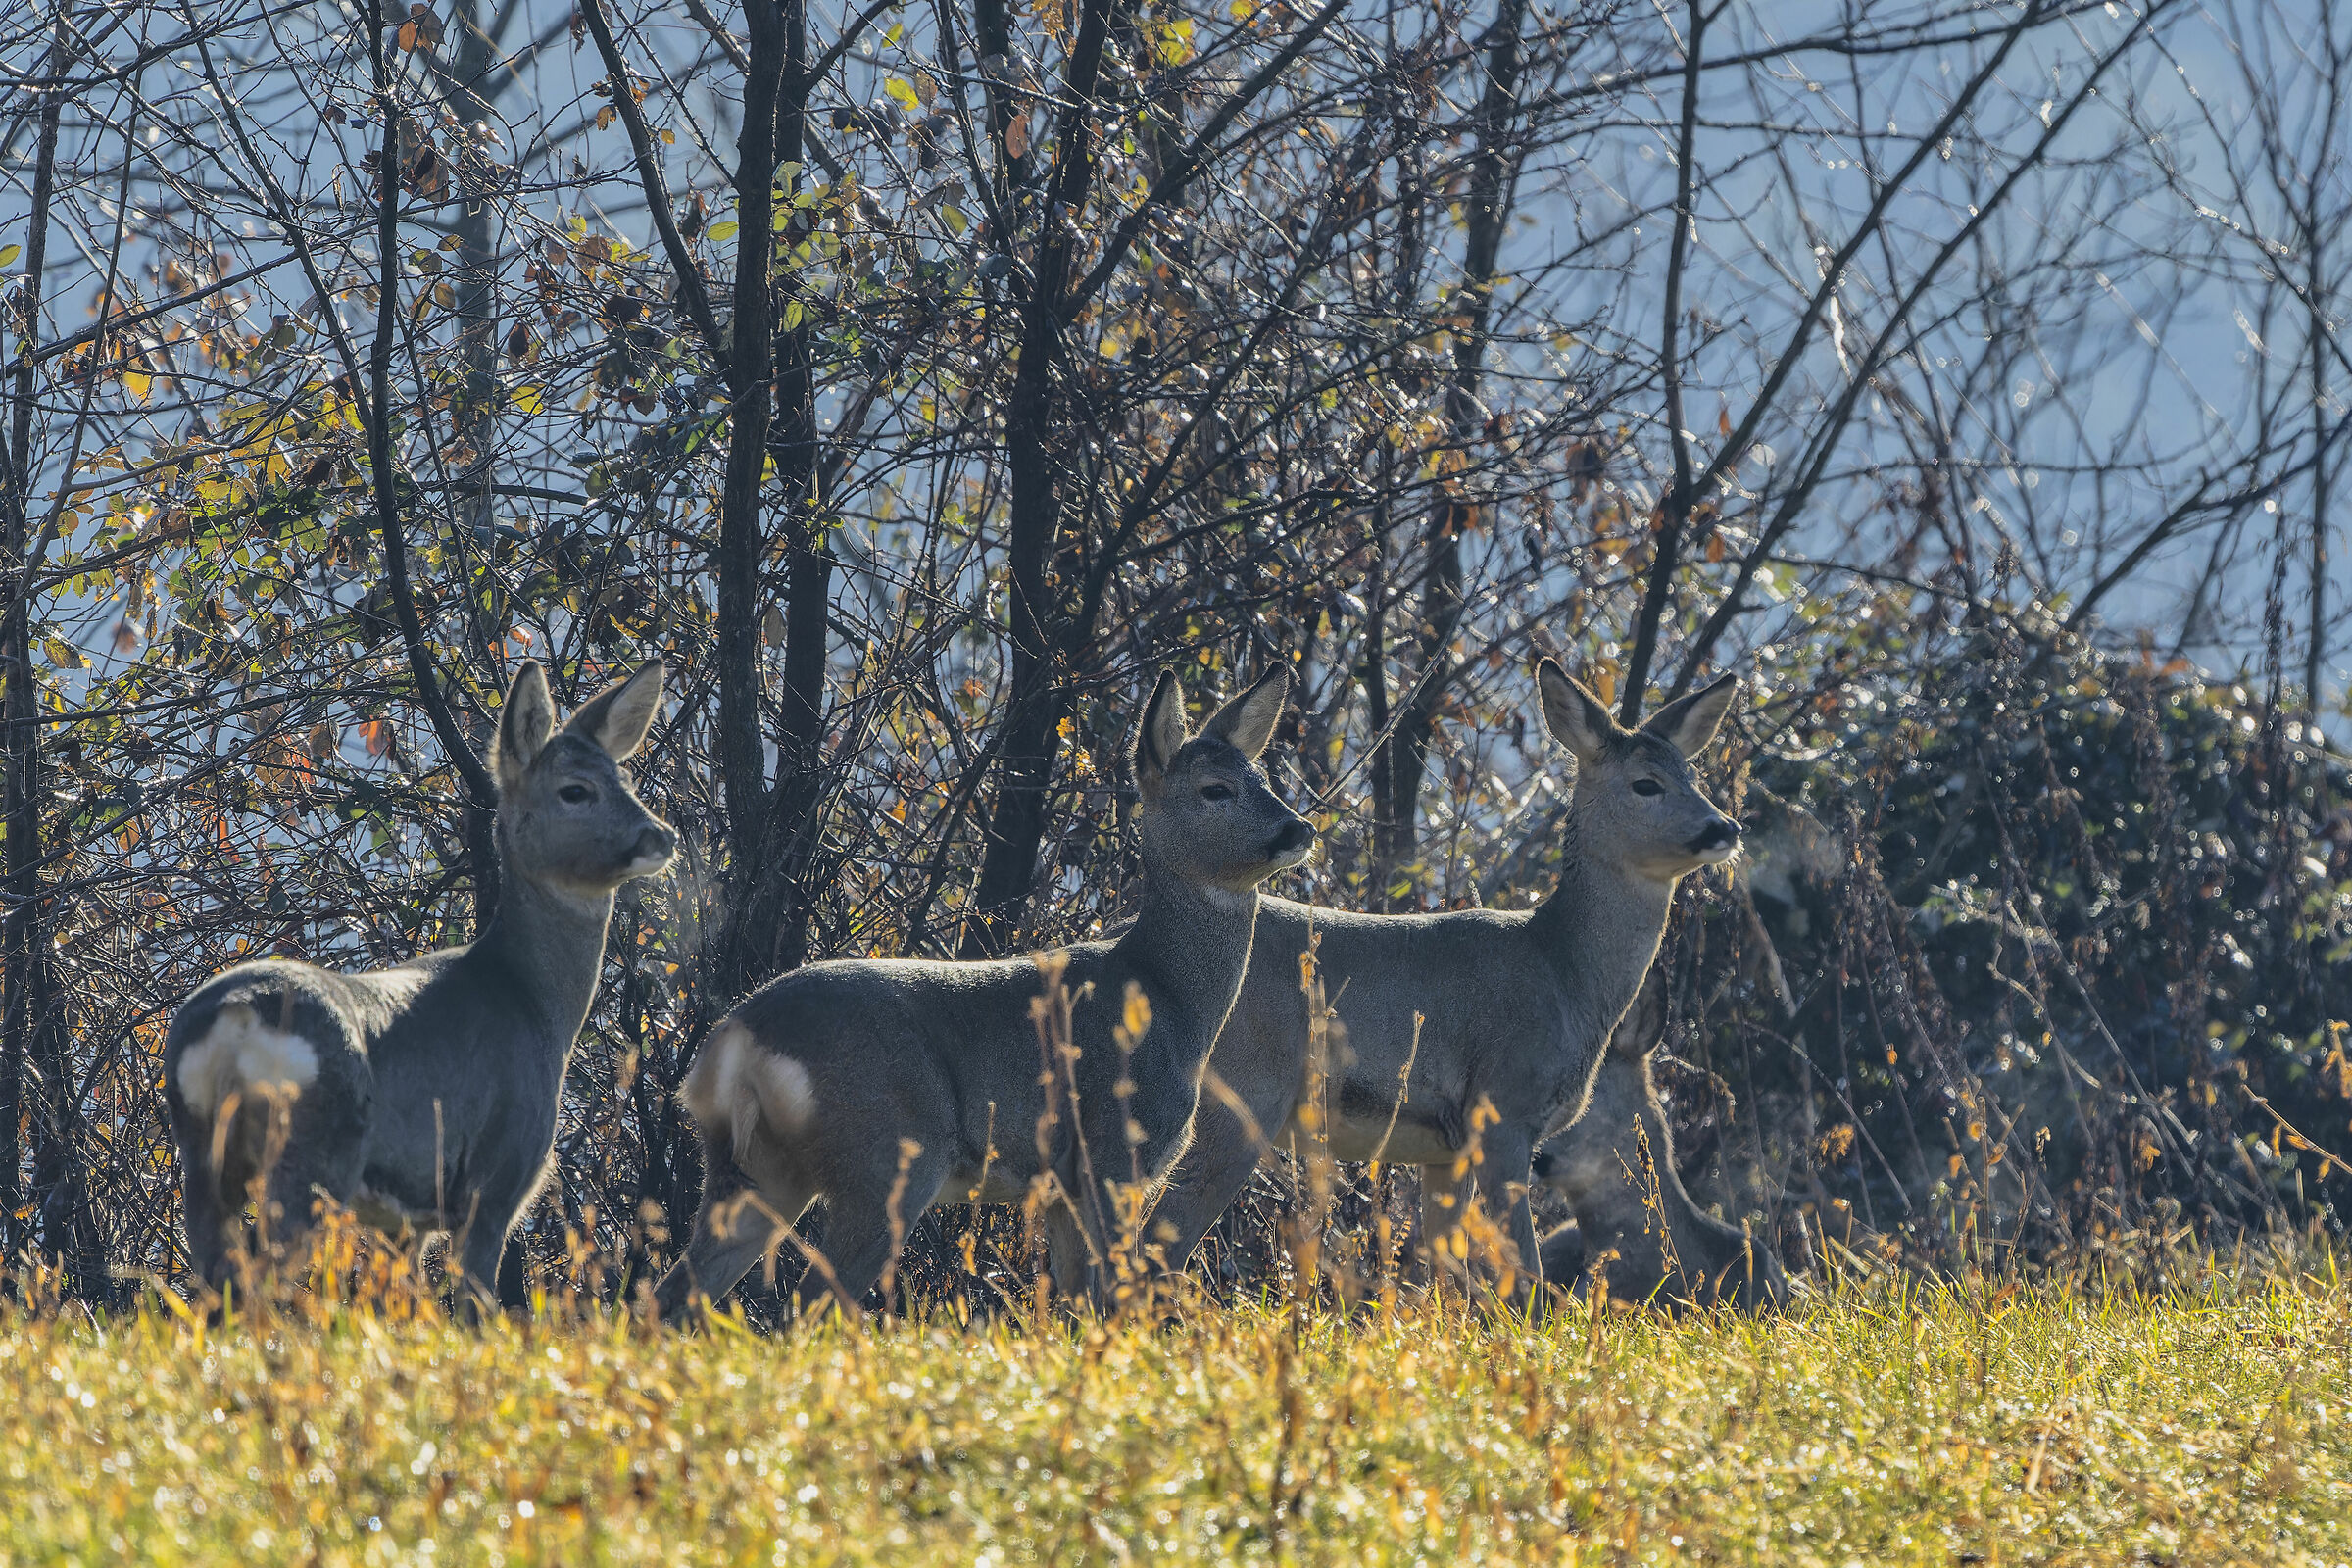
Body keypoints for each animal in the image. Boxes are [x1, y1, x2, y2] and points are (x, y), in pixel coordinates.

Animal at [163, 659, 676, 1309]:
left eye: (625, 777)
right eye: (576, 790)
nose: (661, 836)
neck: (534, 1002)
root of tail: (236, 1017)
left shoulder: (404, 1219)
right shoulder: (495, 1180)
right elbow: (474, 1305)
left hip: (200, 1148)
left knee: (213, 1275)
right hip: (316, 1150)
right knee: (257, 1275)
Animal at [654, 667, 1315, 1321]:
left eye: (1264, 779)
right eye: (1215, 789)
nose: (1300, 828)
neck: (1167, 998)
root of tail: (734, 1046)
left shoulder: (1060, 1183)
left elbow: (1077, 1304)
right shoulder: (1112, 1151)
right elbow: (1116, 1296)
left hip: (757, 1173)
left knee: (671, 1295)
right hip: (888, 1157)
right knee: (809, 1301)